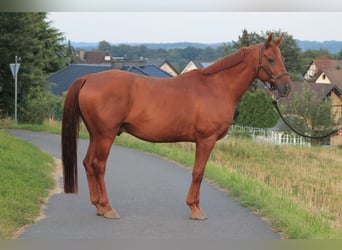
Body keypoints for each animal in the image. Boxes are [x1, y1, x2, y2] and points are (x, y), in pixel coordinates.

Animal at [61, 33, 292, 221]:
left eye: (283, 58)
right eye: (270, 59)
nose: (286, 88)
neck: (216, 87)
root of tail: (88, 78)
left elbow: (198, 172)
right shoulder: (206, 140)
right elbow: (198, 172)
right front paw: (195, 209)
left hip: (96, 135)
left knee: (88, 163)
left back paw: (99, 206)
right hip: (105, 136)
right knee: (98, 165)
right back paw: (108, 208)